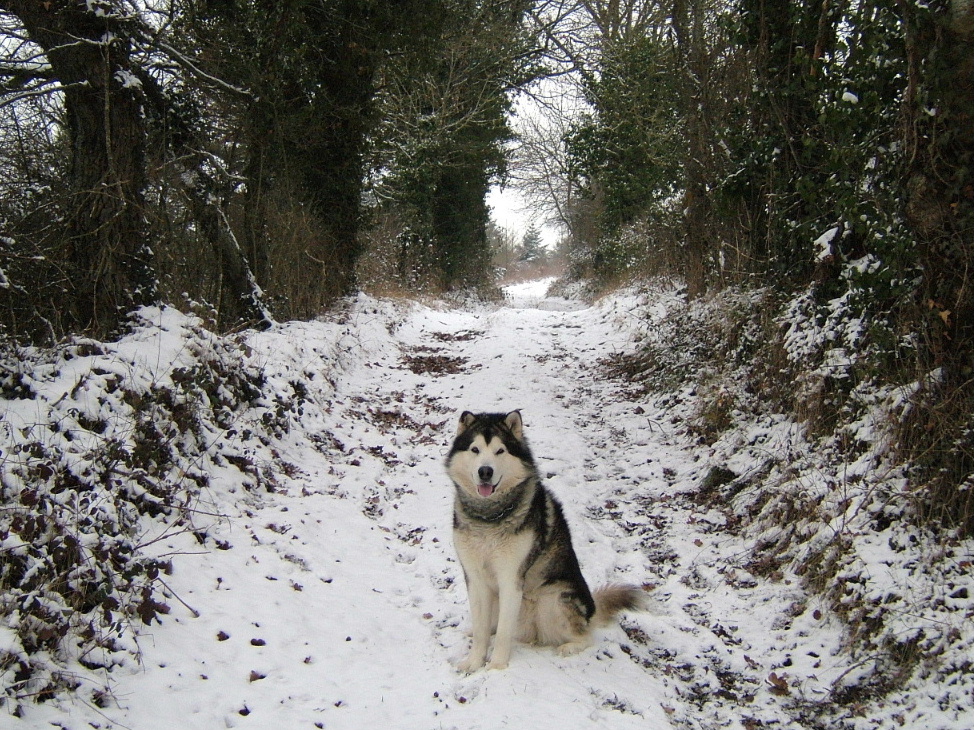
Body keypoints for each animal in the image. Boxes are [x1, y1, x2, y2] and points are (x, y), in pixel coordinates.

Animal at [446, 410, 644, 672]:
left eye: (500, 451)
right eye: (475, 449)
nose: (485, 472)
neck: (489, 516)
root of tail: (591, 610)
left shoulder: (511, 578)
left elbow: (504, 633)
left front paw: (497, 667)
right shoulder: (475, 577)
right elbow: (481, 631)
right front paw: (473, 662)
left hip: (552, 600)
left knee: (586, 636)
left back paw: (569, 646)